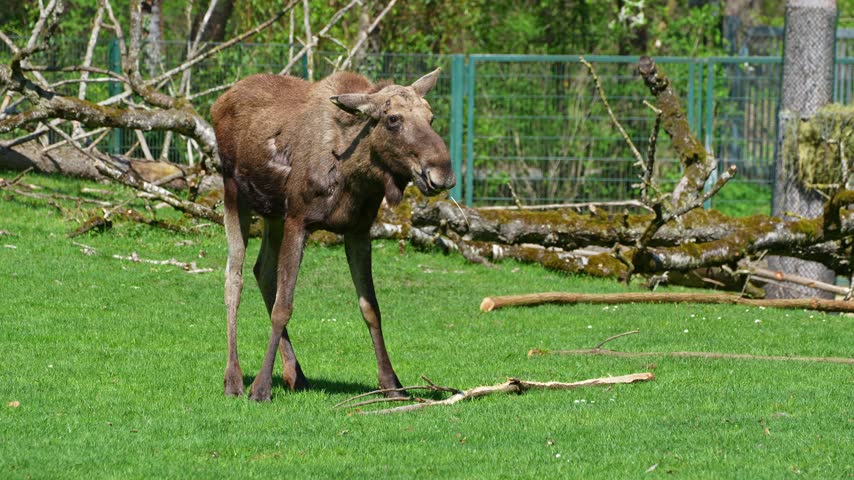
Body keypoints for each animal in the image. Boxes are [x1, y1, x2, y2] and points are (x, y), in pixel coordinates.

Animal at [210, 68, 454, 401]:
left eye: (431, 116)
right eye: (393, 119)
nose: (442, 173)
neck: (354, 173)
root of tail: (217, 104)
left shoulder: (358, 231)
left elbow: (371, 308)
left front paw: (392, 384)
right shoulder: (298, 220)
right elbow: (283, 308)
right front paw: (260, 388)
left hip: (273, 214)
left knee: (262, 271)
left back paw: (295, 374)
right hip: (234, 193)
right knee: (234, 276)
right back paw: (234, 379)